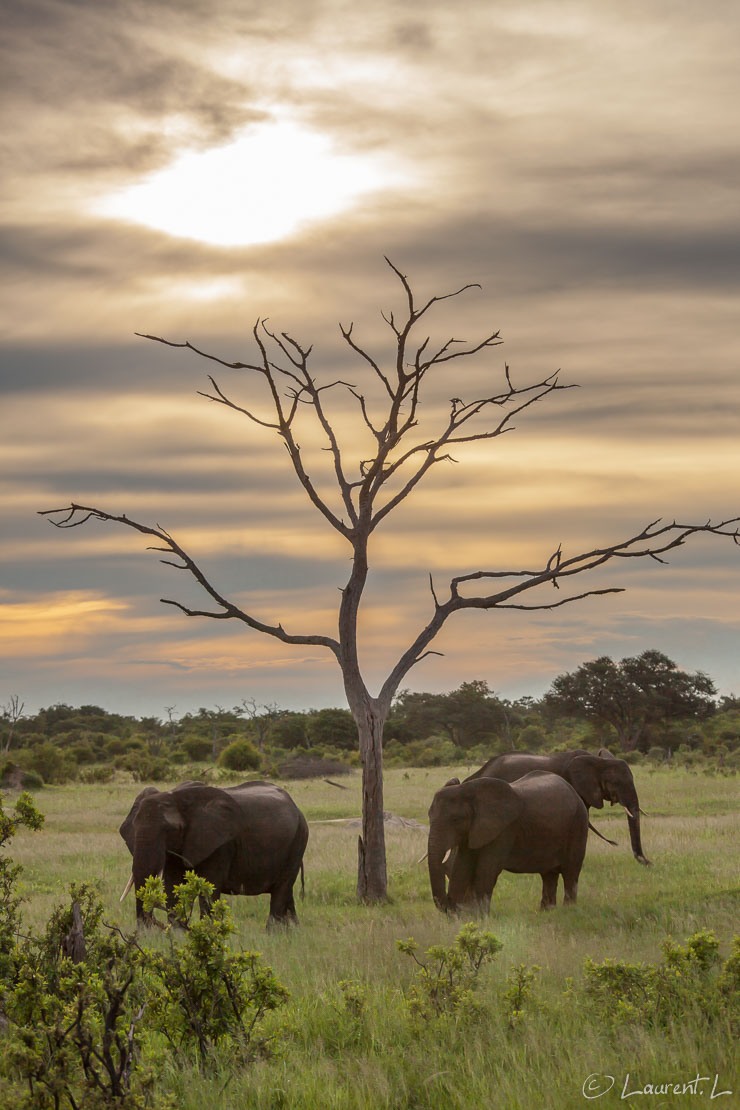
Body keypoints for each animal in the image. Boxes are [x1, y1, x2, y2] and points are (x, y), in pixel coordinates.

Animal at [118, 781, 306, 927]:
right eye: (133, 827)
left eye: (170, 830)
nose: (148, 930)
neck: (176, 796)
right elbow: (173, 887)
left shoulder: (220, 845)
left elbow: (208, 889)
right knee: (286, 893)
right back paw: (292, 932)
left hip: (298, 840)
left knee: (281, 890)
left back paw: (273, 934)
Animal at [428, 768, 590, 914]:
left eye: (455, 819)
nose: (450, 905)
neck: (469, 790)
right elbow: (462, 866)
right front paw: (460, 917)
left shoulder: (505, 829)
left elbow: (487, 869)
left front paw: (480, 916)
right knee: (548, 874)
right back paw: (547, 911)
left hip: (578, 824)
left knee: (571, 872)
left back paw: (569, 910)